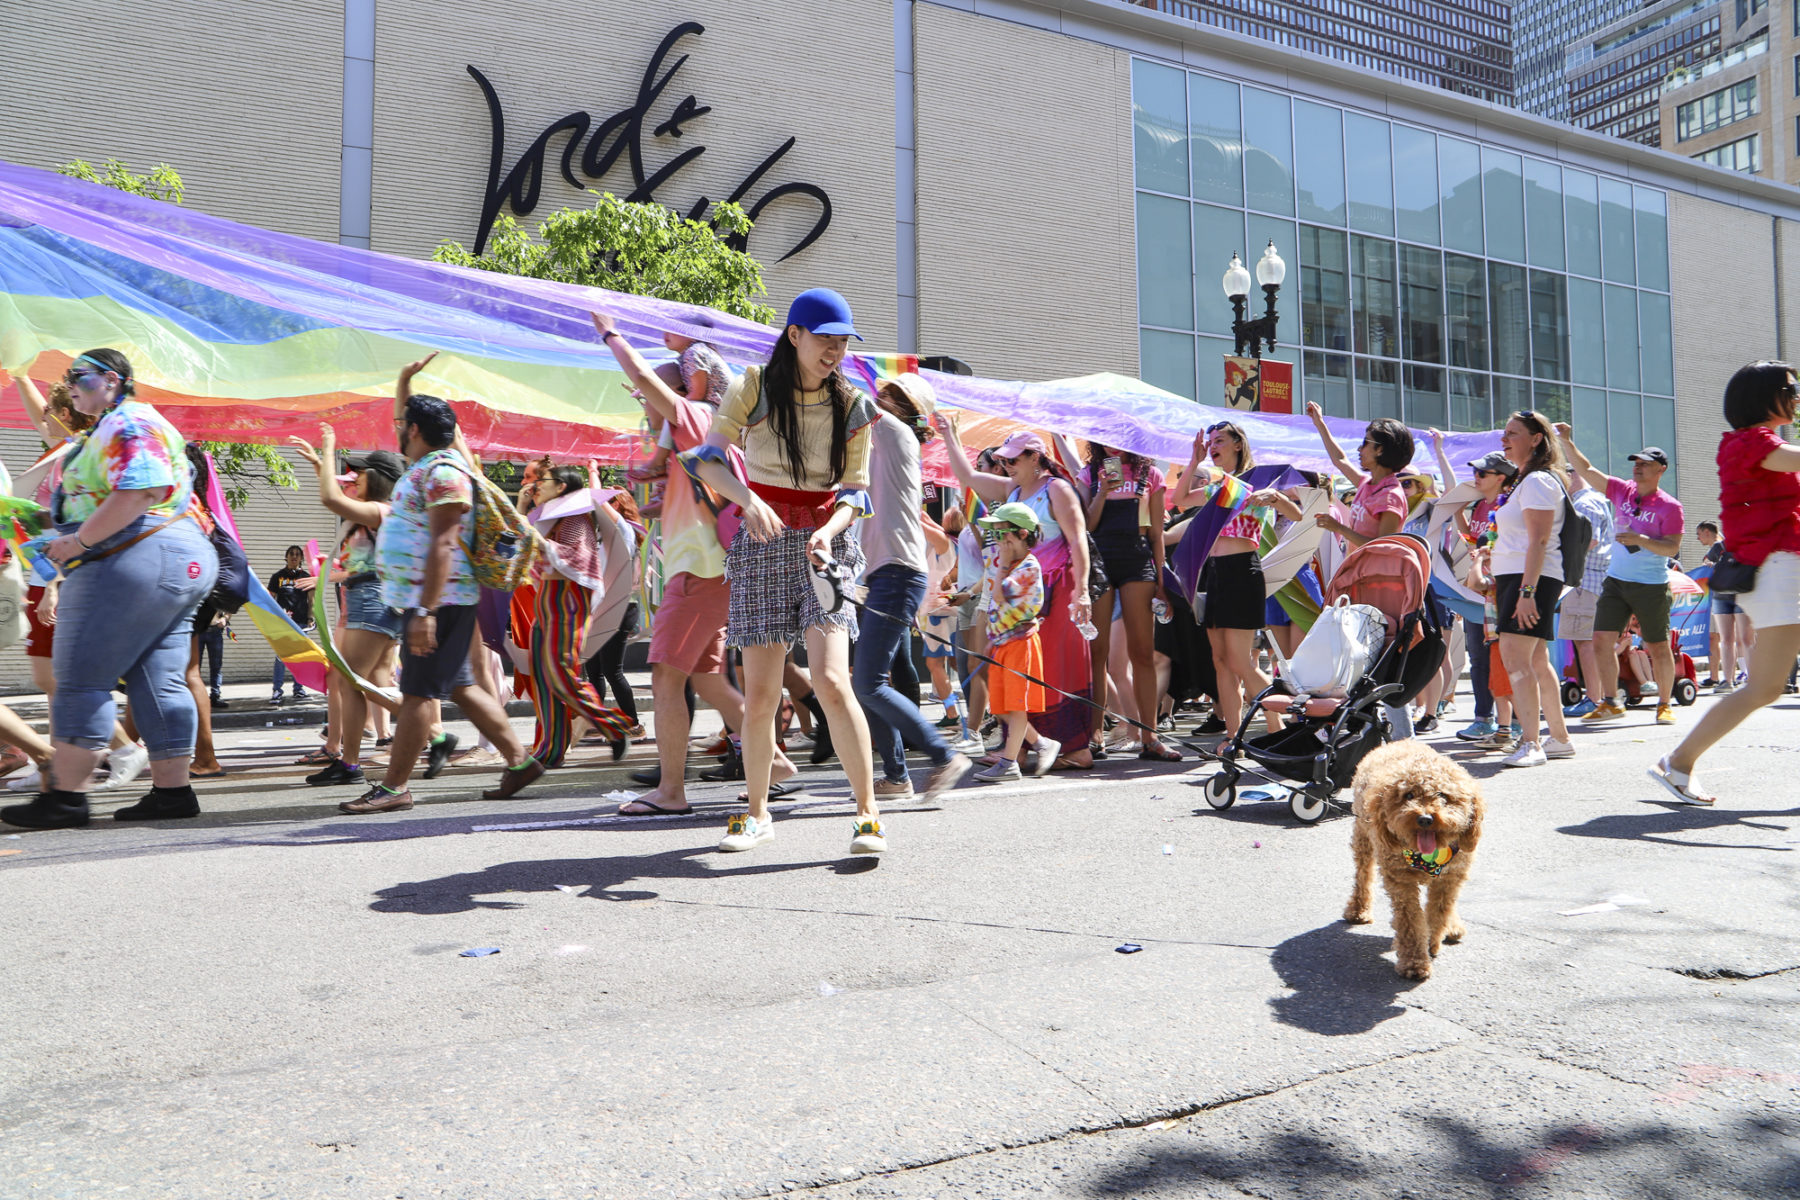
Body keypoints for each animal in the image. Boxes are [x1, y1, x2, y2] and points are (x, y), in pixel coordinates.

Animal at [1346, 741, 1483, 985]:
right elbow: (1409, 923)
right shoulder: (1401, 883)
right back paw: (1358, 910)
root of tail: (1396, 742)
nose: (1425, 819)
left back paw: (1452, 926)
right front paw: (1414, 962)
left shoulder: (1449, 878)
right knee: (1363, 875)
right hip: (1364, 837)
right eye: (1408, 795)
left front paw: (1432, 941)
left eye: (1442, 795)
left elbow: (1438, 913)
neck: (1429, 857)